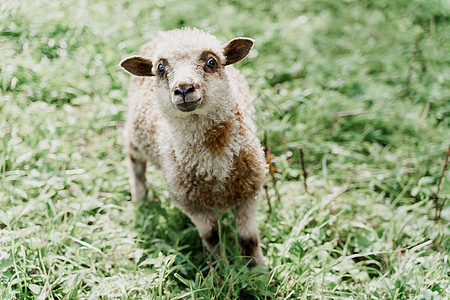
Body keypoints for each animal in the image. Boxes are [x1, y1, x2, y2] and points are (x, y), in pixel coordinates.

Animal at [119, 27, 268, 264]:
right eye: (160, 68)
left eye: (212, 62)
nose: (183, 89)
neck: (214, 159)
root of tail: (164, 32)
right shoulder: (192, 205)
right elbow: (212, 237)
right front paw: (221, 268)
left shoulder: (250, 193)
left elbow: (249, 239)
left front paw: (258, 268)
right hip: (135, 139)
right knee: (136, 167)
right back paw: (141, 201)